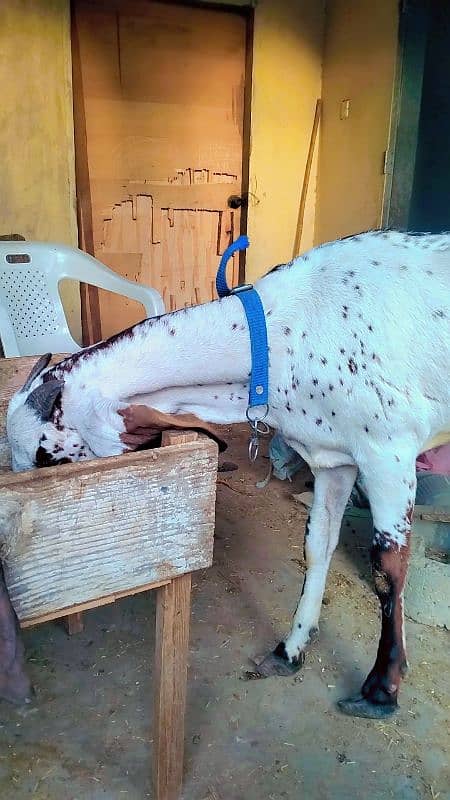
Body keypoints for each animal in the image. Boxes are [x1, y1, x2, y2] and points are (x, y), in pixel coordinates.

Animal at [7, 231, 450, 720]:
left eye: (47, 456)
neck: (281, 333)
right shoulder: (333, 459)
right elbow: (317, 547)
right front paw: (291, 648)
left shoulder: (389, 452)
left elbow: (387, 571)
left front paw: (382, 688)